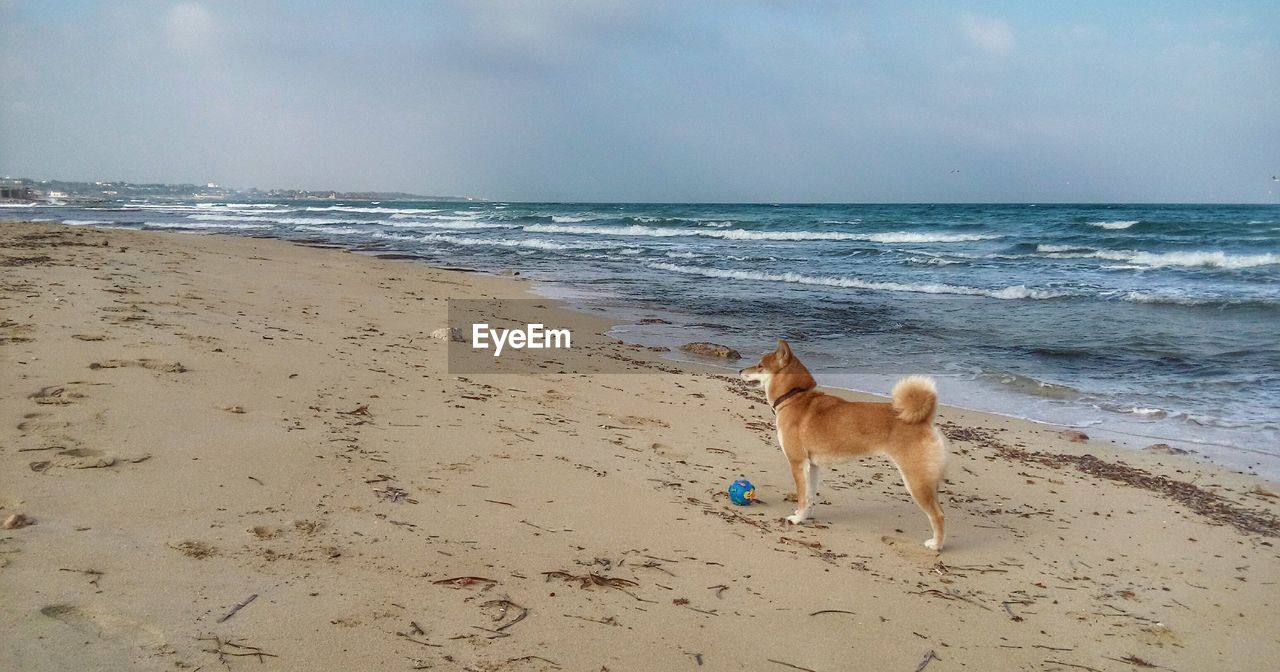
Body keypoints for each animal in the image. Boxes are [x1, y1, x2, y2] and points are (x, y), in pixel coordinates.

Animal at [742, 340, 952, 550]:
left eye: (760, 365)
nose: (740, 370)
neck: (794, 397)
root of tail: (924, 419)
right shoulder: (812, 465)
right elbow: (810, 496)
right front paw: (805, 516)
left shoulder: (797, 463)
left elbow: (802, 496)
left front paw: (797, 519)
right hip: (926, 480)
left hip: (916, 480)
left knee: (938, 515)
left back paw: (936, 545)